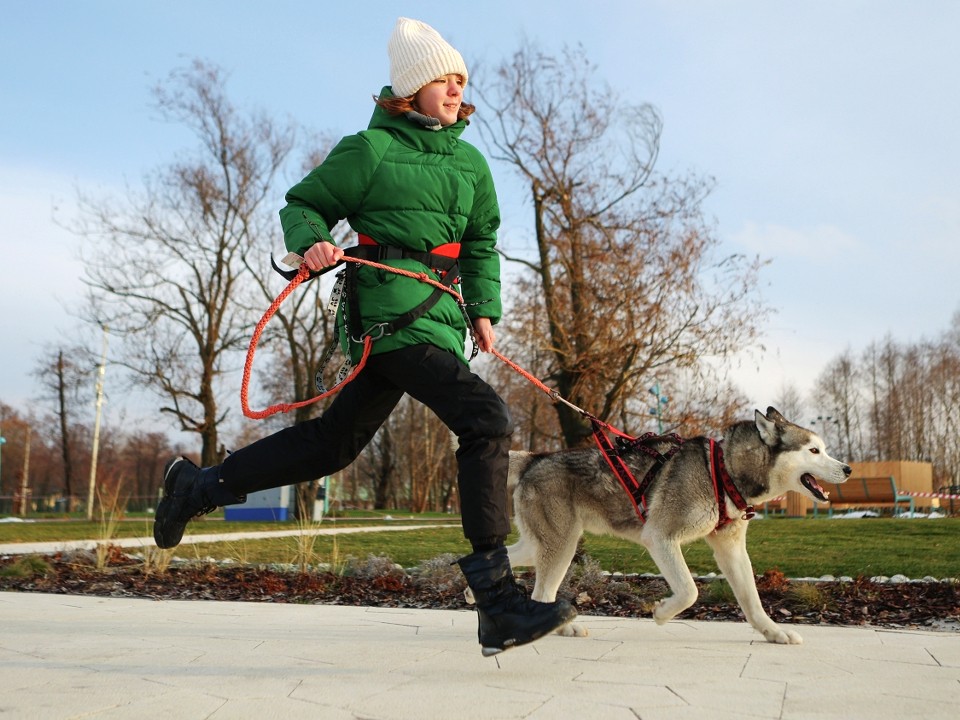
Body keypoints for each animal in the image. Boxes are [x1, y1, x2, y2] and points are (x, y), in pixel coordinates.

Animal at [502, 408, 848, 644]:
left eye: (823, 448)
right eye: (814, 450)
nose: (847, 468)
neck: (723, 471)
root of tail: (535, 458)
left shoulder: (732, 550)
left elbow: (752, 601)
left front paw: (774, 633)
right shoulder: (660, 537)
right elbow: (690, 591)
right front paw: (662, 612)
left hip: (541, 544)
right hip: (561, 545)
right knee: (542, 594)